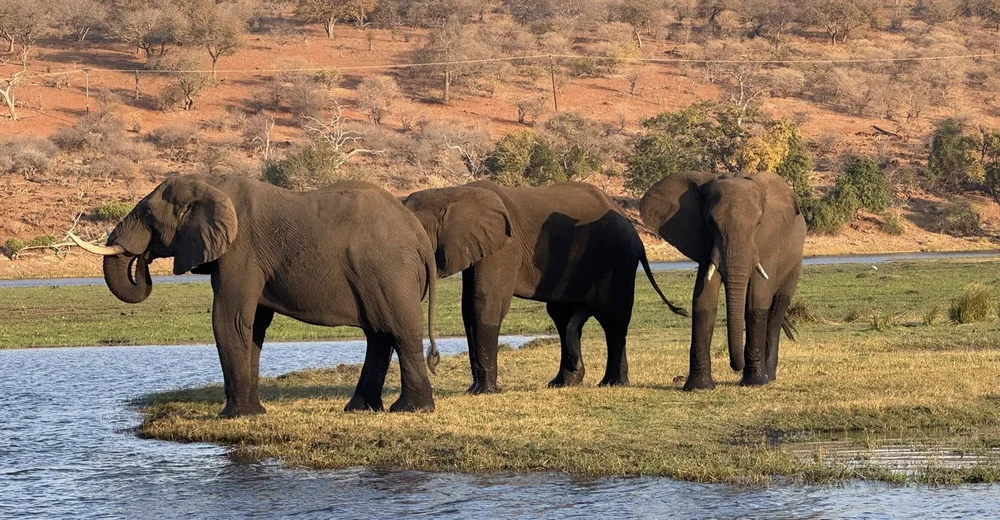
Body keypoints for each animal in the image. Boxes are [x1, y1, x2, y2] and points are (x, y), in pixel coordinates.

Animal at [71, 175, 440, 417]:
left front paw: (236, 416)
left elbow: (229, 320)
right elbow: (253, 327)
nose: (143, 258)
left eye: (148, 215)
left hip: (389, 270)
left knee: (400, 331)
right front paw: (253, 412)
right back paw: (360, 409)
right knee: (379, 334)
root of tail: (419, 235)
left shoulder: (241, 252)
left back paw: (410, 410)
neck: (212, 185)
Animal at [403, 180, 687, 394]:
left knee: (612, 318)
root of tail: (633, 229)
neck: (453, 193)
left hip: (618, 258)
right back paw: (563, 382)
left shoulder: (504, 247)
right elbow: (468, 307)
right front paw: (474, 389)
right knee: (563, 317)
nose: (434, 362)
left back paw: (611, 383)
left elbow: (484, 303)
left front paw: (483, 391)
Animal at [639, 171, 806, 390]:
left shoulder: (769, 242)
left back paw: (768, 376)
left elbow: (757, 299)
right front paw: (699, 387)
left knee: (777, 308)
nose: (735, 366)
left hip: (795, 261)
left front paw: (755, 383)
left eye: (758, 223)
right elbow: (703, 300)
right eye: (710, 222)